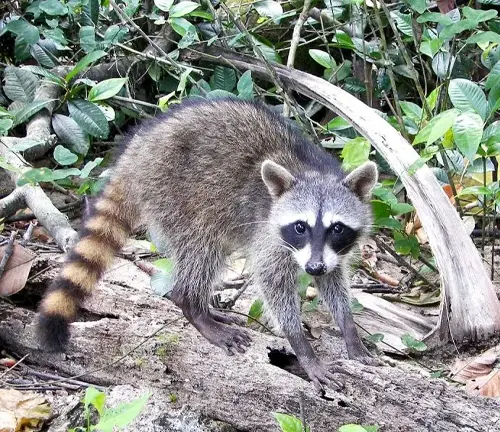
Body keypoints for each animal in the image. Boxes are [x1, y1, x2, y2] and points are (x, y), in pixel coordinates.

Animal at [37, 98, 378, 388]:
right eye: (300, 227)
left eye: (336, 228)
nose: (314, 267)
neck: (313, 172)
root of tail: (135, 153)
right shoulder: (269, 234)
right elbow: (272, 282)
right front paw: (303, 347)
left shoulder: (330, 252)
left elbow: (334, 280)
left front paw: (349, 328)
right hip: (175, 194)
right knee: (202, 250)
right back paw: (193, 306)